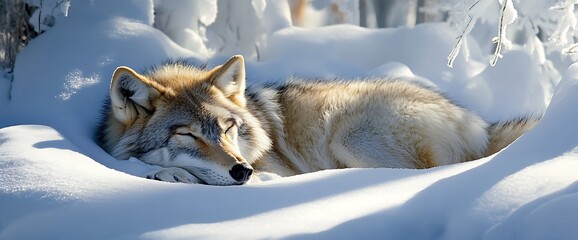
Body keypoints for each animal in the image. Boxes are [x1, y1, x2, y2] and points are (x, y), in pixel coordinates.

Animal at [97, 54, 536, 186]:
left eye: (226, 128)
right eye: (186, 134)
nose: (241, 171)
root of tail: (481, 125)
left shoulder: (275, 171)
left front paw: (173, 175)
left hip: (348, 136)